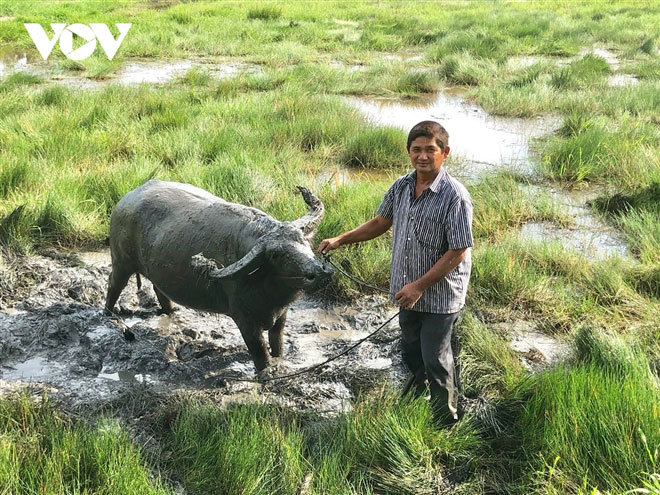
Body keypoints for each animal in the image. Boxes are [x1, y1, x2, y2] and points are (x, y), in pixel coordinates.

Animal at [105, 180, 332, 370]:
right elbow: (260, 354)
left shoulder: (281, 315)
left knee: (159, 289)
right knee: (114, 285)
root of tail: (124, 201)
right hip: (121, 262)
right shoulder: (245, 320)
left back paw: (170, 311)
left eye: (303, 239)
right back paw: (108, 314)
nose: (320, 271)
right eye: (276, 254)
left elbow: (277, 343)